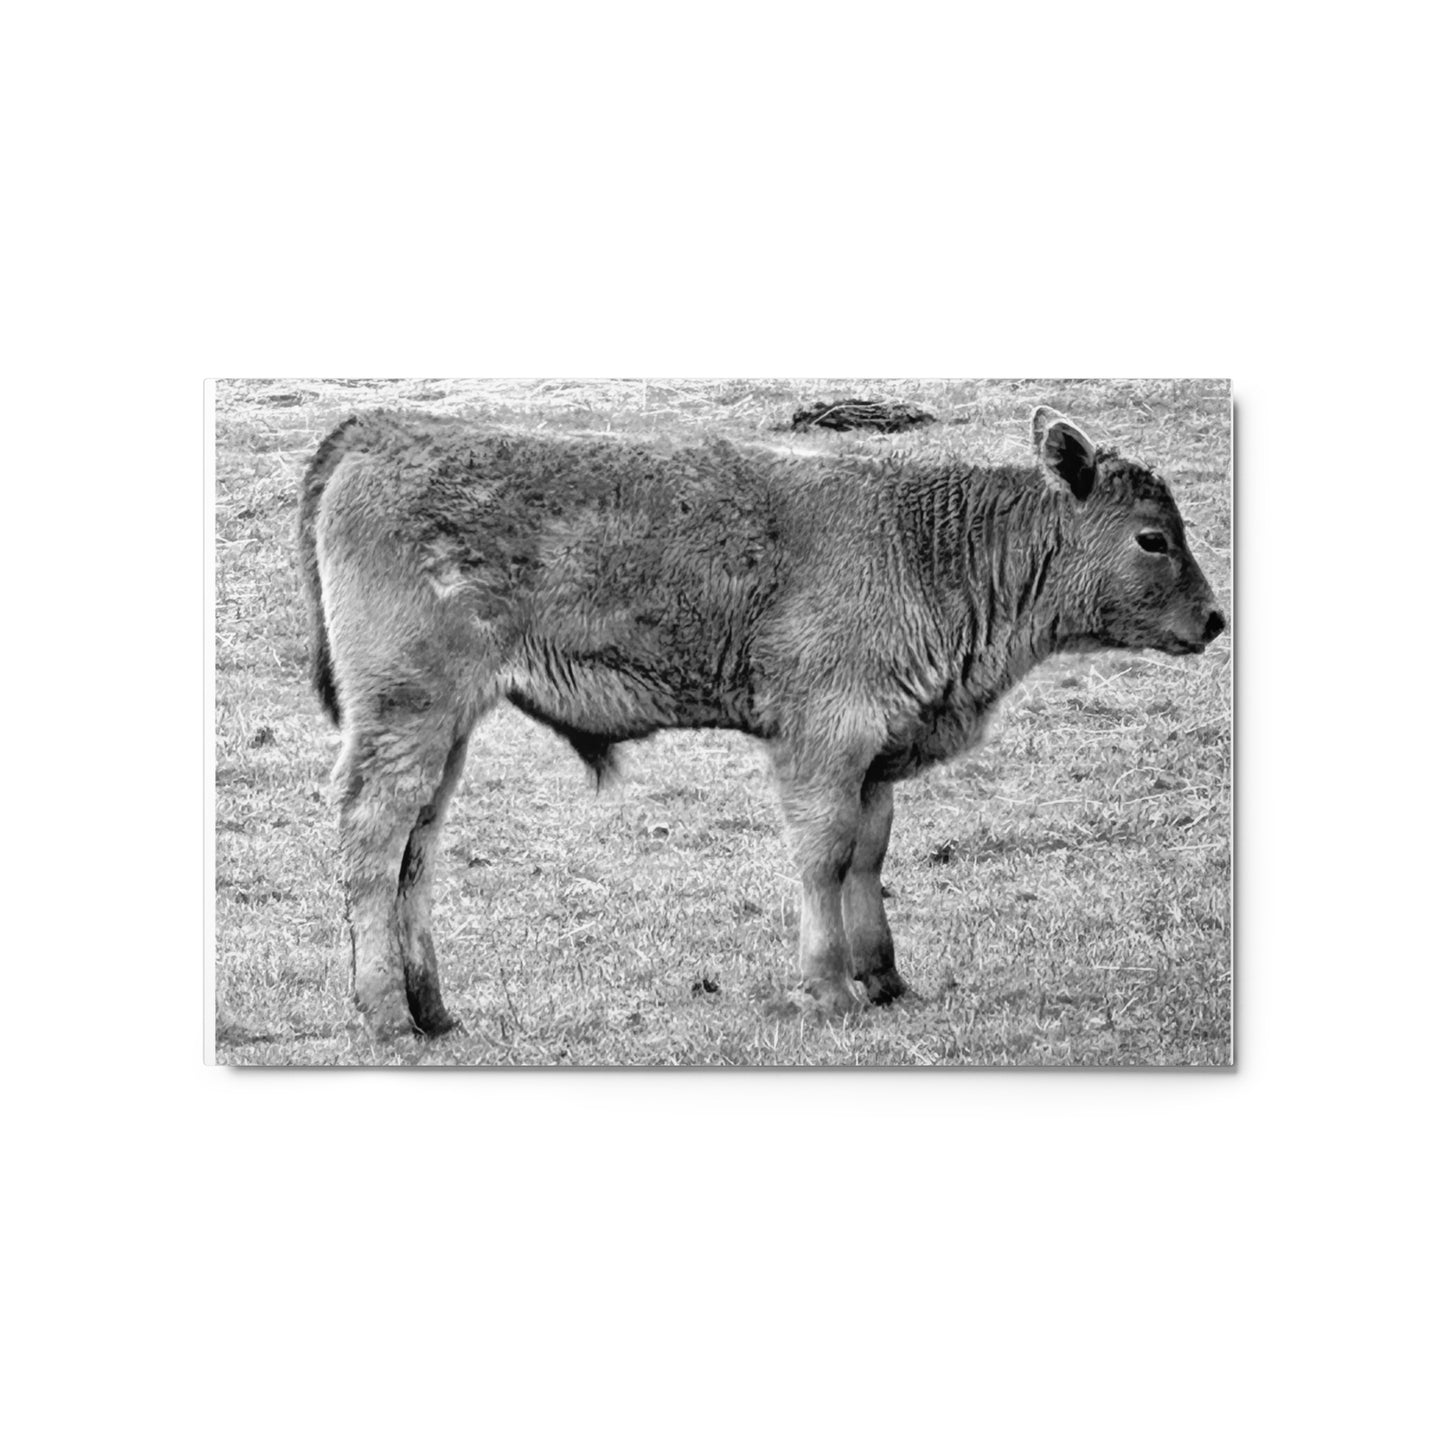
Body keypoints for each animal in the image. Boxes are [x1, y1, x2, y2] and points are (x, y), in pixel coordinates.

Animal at [298, 405, 1226, 1039]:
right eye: (1151, 538)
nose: (1216, 619)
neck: (922, 544)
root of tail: (379, 428)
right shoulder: (823, 740)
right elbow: (823, 856)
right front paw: (827, 988)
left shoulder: (874, 755)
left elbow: (867, 854)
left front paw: (884, 978)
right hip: (407, 715)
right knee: (373, 837)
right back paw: (385, 1013)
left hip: (445, 729)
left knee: (416, 848)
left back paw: (433, 1009)